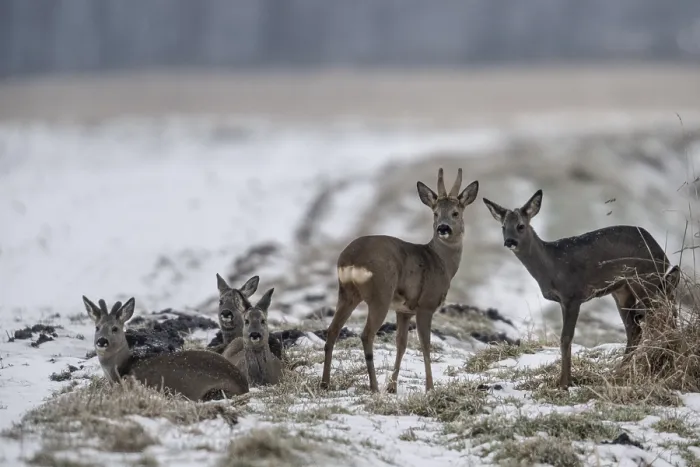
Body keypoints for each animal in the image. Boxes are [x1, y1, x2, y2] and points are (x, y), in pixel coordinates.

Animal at [83, 295, 249, 401]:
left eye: (115, 328)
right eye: (97, 327)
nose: (102, 341)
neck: (122, 367)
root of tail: (244, 385)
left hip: (214, 390)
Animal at [320, 168, 479, 393]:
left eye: (455, 213)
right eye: (435, 213)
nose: (443, 228)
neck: (441, 262)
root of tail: (351, 259)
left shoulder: (404, 310)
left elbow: (401, 344)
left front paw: (392, 387)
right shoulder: (426, 305)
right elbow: (425, 345)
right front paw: (430, 388)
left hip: (346, 293)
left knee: (332, 330)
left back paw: (325, 383)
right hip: (380, 293)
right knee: (366, 334)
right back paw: (374, 387)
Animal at [482, 189, 680, 390]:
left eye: (521, 226)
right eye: (503, 227)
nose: (509, 241)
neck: (551, 266)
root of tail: (661, 254)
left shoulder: (573, 295)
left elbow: (566, 338)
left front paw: (564, 383)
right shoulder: (564, 300)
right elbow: (566, 339)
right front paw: (566, 380)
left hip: (646, 281)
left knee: (662, 317)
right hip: (622, 291)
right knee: (635, 328)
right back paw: (619, 372)